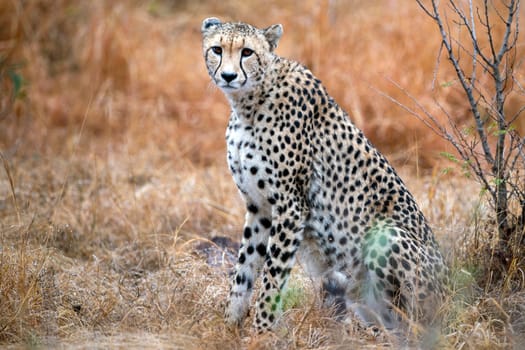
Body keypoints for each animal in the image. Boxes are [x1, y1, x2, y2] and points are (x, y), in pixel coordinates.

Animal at [201, 17, 446, 332]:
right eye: (217, 49)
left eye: (247, 52)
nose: (229, 76)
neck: (250, 102)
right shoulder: (259, 208)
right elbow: (244, 269)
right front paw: (230, 325)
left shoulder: (291, 207)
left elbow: (272, 276)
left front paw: (262, 331)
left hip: (386, 236)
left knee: (412, 322)